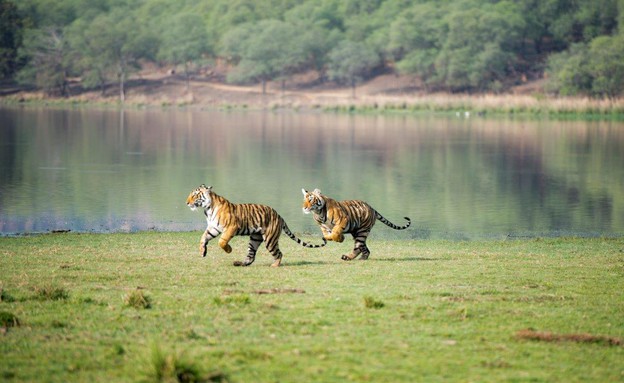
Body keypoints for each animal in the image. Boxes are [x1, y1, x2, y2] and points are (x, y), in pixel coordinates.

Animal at [185, 185, 326, 268]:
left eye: (195, 195)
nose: (186, 203)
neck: (207, 209)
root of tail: (279, 215)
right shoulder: (213, 228)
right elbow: (203, 237)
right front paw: (202, 251)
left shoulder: (231, 227)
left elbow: (222, 241)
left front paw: (229, 250)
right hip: (255, 238)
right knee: (251, 256)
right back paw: (240, 263)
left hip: (270, 240)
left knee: (279, 253)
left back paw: (275, 265)